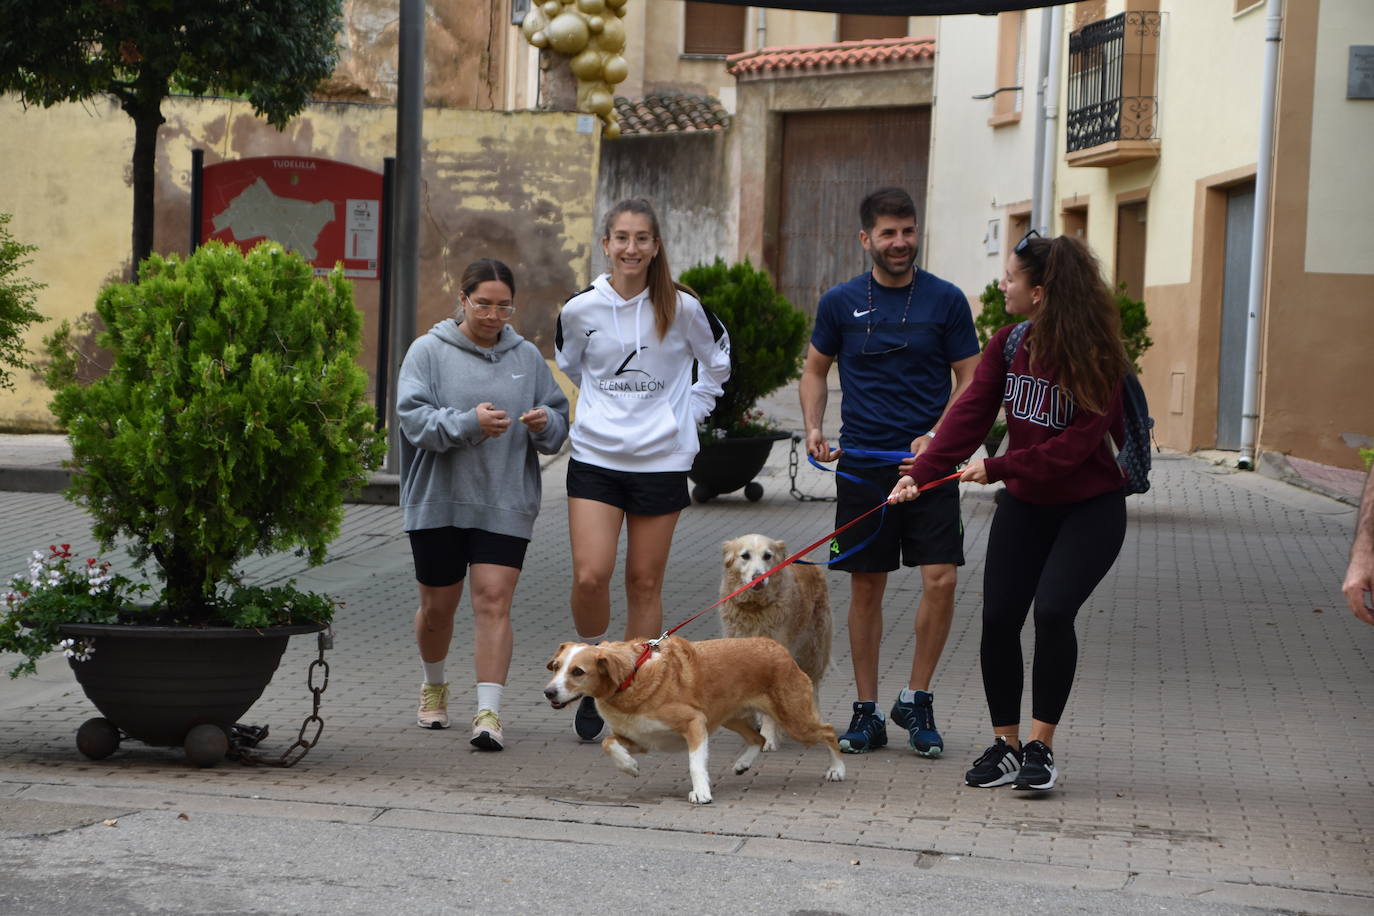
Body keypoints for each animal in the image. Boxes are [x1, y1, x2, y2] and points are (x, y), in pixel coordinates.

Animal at [541, 637, 840, 802]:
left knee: (828, 732)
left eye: (578, 671)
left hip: (795, 720)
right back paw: (743, 764)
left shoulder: (694, 723)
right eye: (556, 667)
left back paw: (837, 770)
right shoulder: (641, 738)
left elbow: (695, 763)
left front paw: (701, 793)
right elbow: (609, 744)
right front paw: (629, 766)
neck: (632, 678)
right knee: (757, 737)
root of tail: (777, 647)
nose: (548, 692)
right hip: (727, 715)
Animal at [714, 532, 829, 747]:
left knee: (814, 686)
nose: (758, 578)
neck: (754, 608)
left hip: (813, 649)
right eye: (745, 556)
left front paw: (768, 737)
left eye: (767, 556)